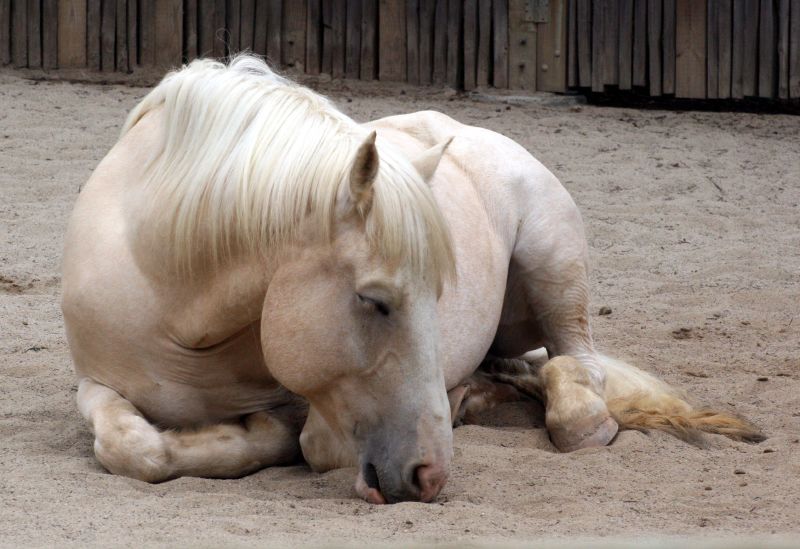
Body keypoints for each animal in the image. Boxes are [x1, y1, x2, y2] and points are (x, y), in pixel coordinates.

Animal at [62, 53, 764, 504]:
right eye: (375, 302)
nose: (431, 476)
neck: (183, 315)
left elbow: (304, 440)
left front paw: (252, 431)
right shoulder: (96, 383)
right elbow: (132, 449)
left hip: (555, 265)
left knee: (576, 372)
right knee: (527, 371)